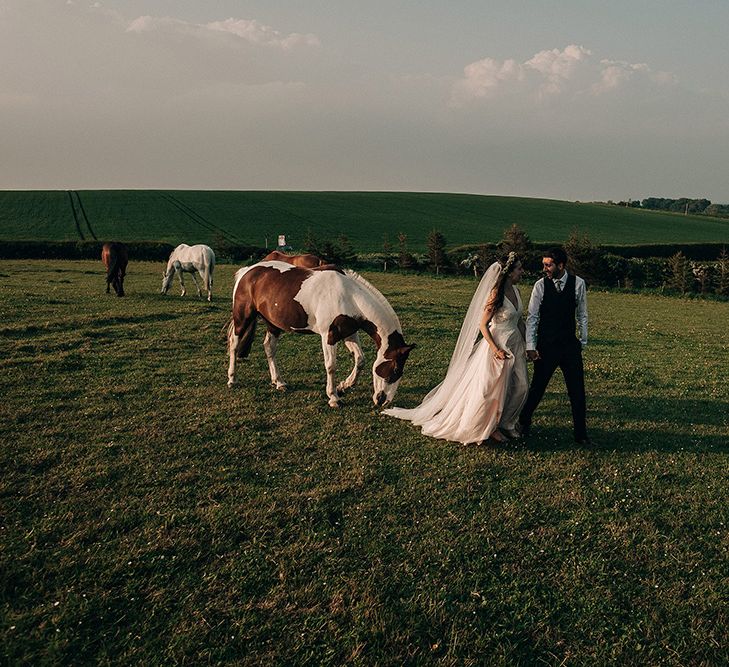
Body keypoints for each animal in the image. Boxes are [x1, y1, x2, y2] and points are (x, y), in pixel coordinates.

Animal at [226, 260, 416, 408]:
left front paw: (344, 386)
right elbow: (331, 366)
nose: (383, 401)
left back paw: (278, 382)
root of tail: (247, 271)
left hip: (273, 324)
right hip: (242, 318)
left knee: (269, 348)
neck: (350, 296)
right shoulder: (329, 336)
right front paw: (333, 397)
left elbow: (360, 360)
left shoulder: (349, 333)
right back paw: (232, 379)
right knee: (234, 345)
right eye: (395, 369)